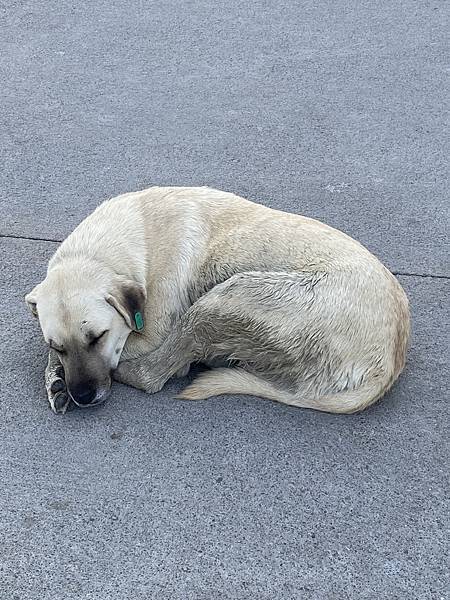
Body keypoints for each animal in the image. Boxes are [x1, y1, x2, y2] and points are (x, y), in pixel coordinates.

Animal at [25, 186, 412, 412]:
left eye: (98, 337)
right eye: (59, 344)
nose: (84, 397)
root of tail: (388, 363)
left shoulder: (149, 334)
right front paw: (55, 377)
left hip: (229, 297)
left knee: (154, 374)